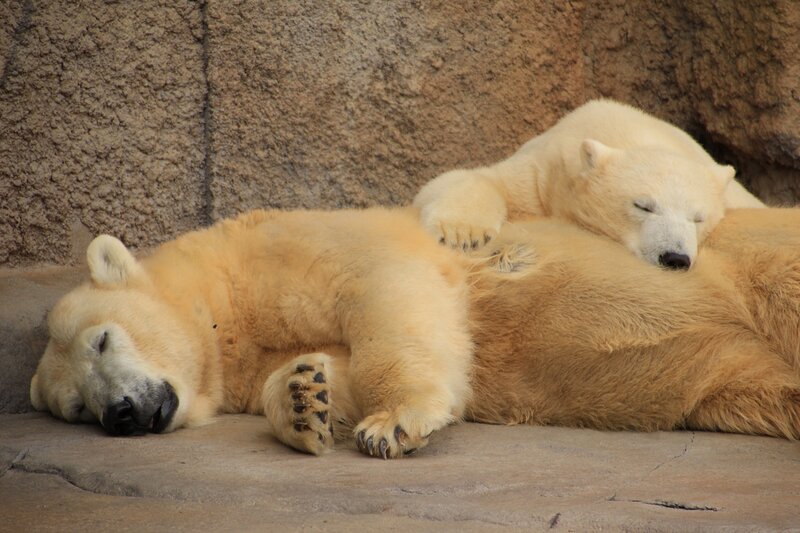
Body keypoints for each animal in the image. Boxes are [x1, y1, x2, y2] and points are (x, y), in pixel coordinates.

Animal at [30, 207, 800, 459]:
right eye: (75, 408)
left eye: (102, 340)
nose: (122, 413)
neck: (227, 295)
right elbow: (326, 370)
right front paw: (305, 399)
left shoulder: (301, 242)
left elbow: (387, 295)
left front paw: (392, 425)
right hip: (732, 384)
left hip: (752, 255)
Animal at [413, 99, 765, 270]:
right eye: (643, 206)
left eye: (698, 218)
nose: (674, 258)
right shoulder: (545, 171)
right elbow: (477, 179)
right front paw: (462, 235)